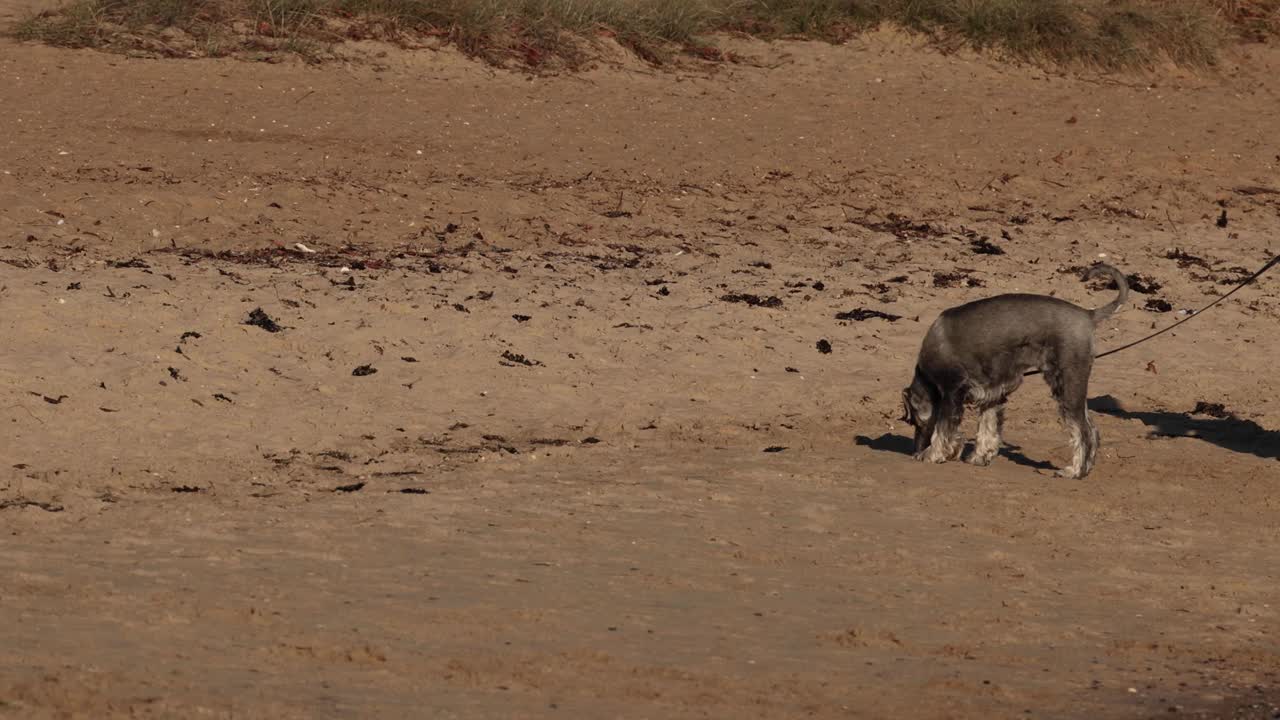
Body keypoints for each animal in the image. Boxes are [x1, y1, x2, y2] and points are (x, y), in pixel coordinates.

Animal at [901, 263, 1131, 476]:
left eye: (914, 421)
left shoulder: (951, 392)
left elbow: (943, 428)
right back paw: (1086, 468)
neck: (927, 376)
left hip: (1067, 385)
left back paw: (1075, 471)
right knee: (1092, 429)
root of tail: (1088, 314)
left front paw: (932, 454)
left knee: (1083, 430)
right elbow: (987, 427)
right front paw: (979, 456)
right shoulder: (991, 394)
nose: (914, 451)